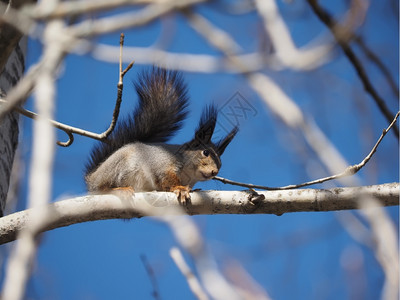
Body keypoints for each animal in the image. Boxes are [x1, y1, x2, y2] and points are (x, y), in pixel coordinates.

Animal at [83, 67, 238, 204]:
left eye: (221, 163)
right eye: (205, 152)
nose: (214, 172)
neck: (189, 173)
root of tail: (92, 177)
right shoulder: (162, 164)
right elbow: (165, 178)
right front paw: (180, 189)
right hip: (118, 165)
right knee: (101, 188)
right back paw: (118, 190)